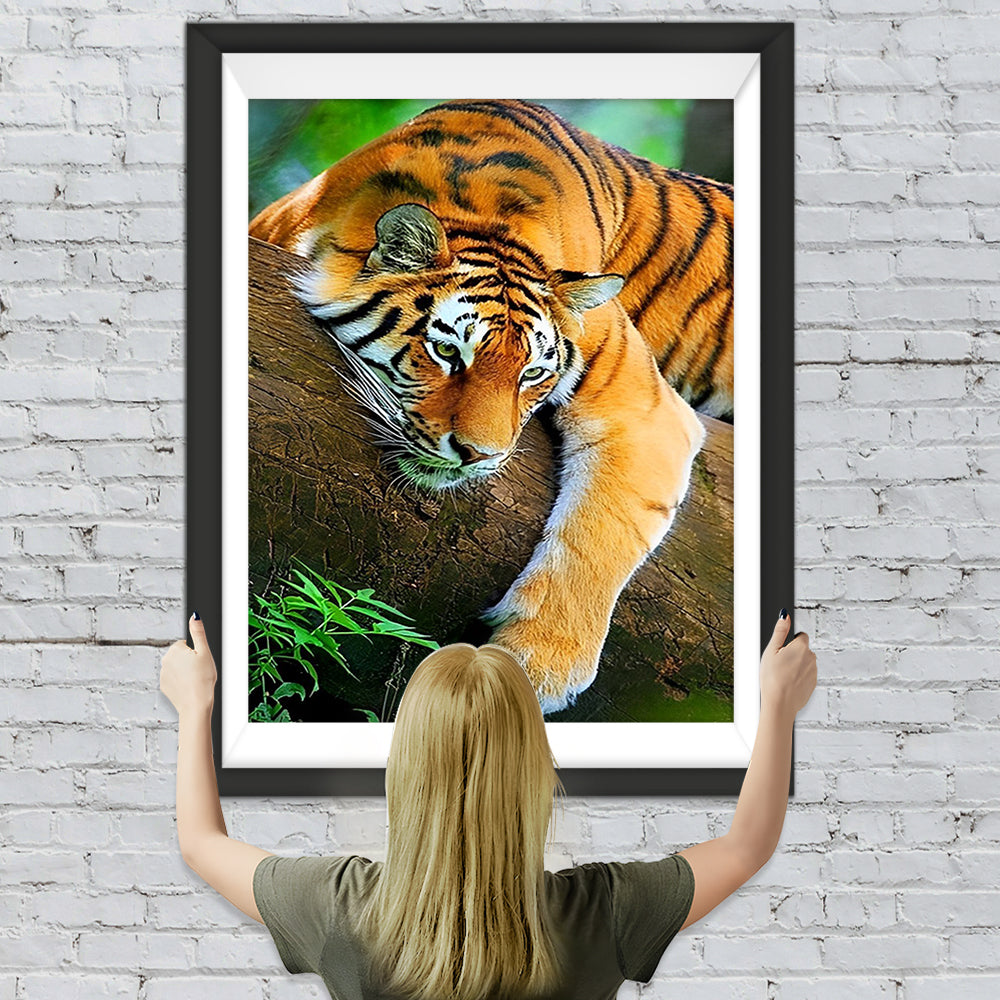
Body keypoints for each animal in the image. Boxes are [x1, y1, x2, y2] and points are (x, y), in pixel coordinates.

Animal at [249, 99, 734, 716]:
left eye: (532, 374)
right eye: (447, 352)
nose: (477, 455)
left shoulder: (645, 408)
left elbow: (601, 534)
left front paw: (538, 664)